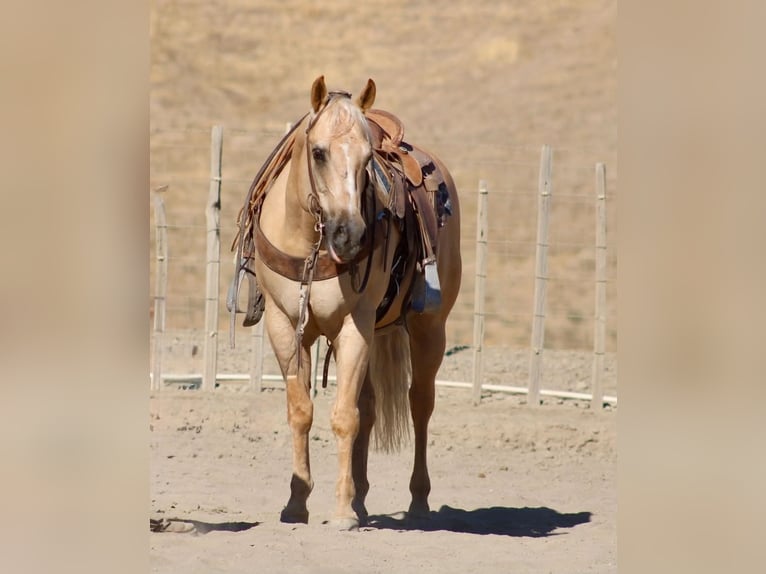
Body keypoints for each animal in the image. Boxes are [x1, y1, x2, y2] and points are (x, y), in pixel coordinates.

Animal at [230, 76, 461, 530]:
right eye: (318, 152)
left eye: (368, 157)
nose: (350, 235)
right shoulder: (285, 326)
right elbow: (302, 410)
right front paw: (297, 502)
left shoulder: (354, 326)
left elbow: (343, 417)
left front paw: (340, 511)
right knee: (370, 407)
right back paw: (363, 499)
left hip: (429, 329)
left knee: (419, 403)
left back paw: (418, 502)